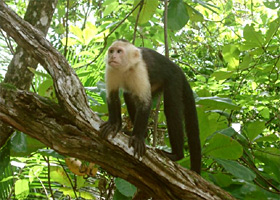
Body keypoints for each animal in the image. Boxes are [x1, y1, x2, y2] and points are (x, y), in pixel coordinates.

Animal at [99, 39, 200, 173]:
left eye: (119, 51)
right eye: (111, 51)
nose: (112, 56)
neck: (126, 68)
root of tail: (178, 69)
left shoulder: (140, 70)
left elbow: (144, 103)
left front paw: (137, 138)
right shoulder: (111, 69)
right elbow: (112, 96)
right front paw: (114, 125)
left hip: (174, 79)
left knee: (171, 110)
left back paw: (176, 155)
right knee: (129, 95)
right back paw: (143, 134)